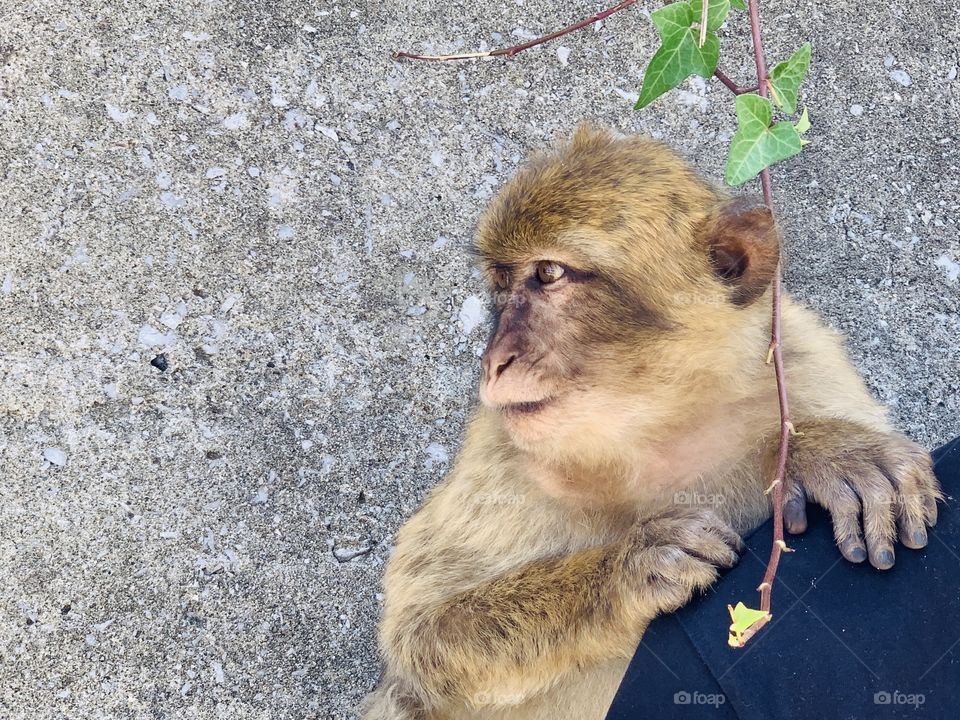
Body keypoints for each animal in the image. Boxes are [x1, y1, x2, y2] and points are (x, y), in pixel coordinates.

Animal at [361, 125, 942, 720]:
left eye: (547, 274)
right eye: (502, 284)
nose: (494, 361)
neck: (652, 428)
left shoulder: (806, 363)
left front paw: (817, 453)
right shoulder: (499, 452)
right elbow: (421, 637)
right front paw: (628, 569)